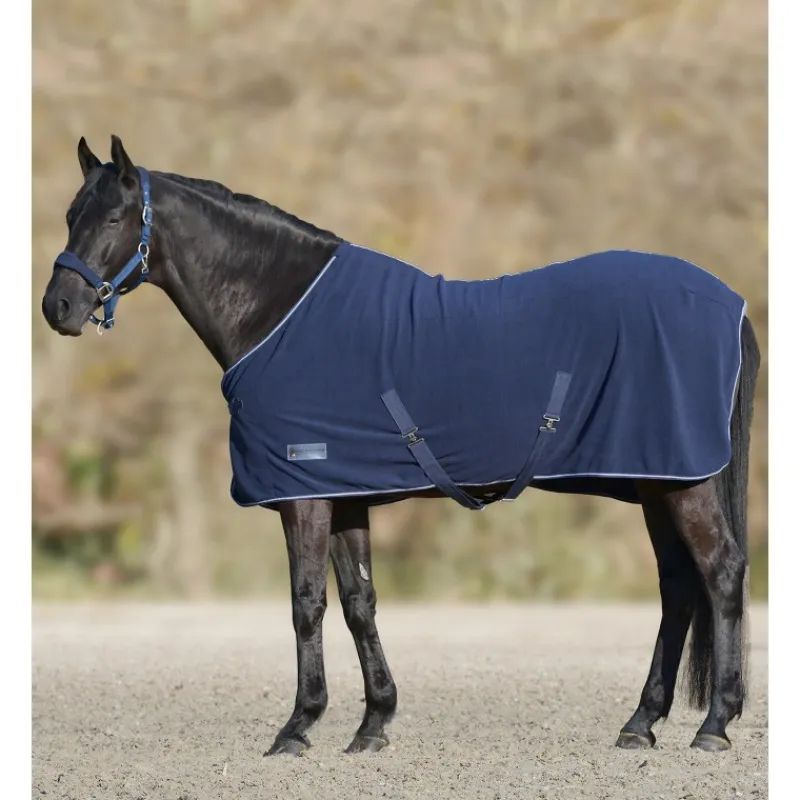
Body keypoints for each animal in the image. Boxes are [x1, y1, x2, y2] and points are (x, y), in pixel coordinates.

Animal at [41, 135, 760, 757]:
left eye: (114, 216)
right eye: (71, 215)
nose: (58, 307)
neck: (280, 311)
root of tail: (731, 303)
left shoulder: (304, 497)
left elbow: (306, 605)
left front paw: (298, 727)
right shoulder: (345, 495)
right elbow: (359, 604)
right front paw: (373, 725)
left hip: (684, 482)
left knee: (720, 572)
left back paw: (714, 725)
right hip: (656, 481)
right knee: (678, 586)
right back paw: (641, 723)